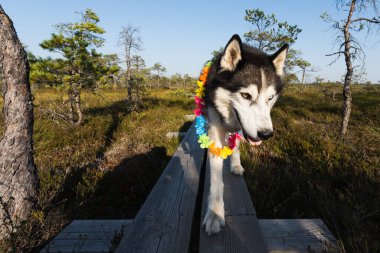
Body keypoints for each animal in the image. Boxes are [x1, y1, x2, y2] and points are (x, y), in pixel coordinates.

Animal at [202, 34, 288, 234]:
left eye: (270, 98)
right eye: (246, 96)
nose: (266, 134)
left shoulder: (242, 128)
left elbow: (236, 146)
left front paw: (235, 163)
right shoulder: (215, 127)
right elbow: (216, 177)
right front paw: (215, 213)